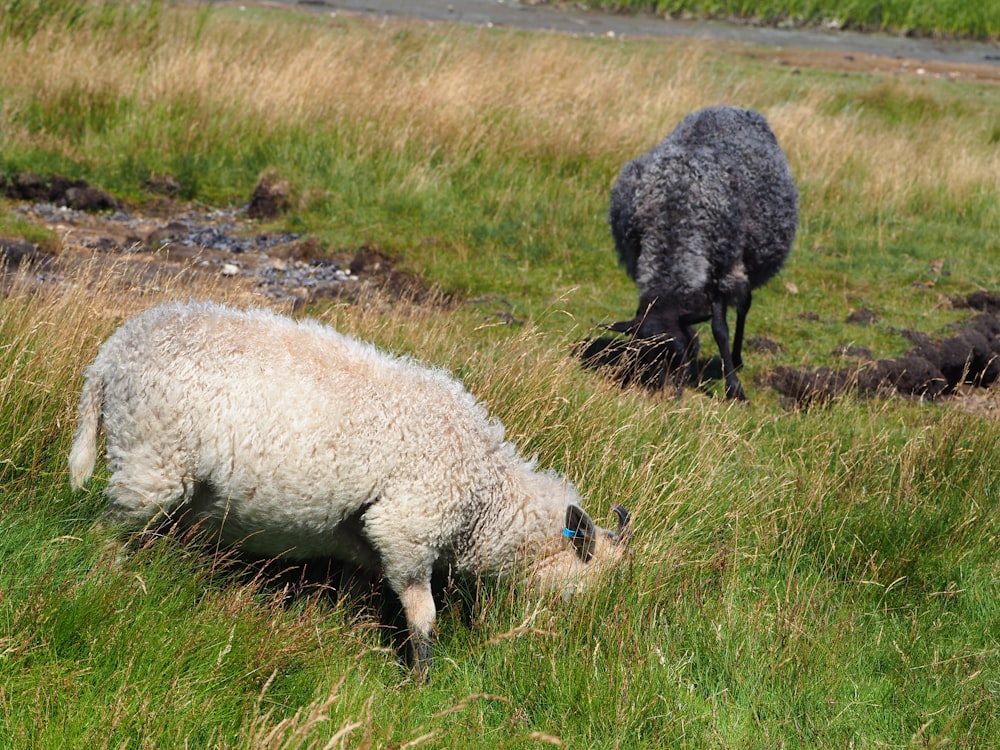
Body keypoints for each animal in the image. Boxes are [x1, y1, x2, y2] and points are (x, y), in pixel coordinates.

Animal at [68, 302, 632, 676]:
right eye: (587, 576)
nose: (575, 638)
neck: (482, 492)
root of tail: (112, 354)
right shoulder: (407, 529)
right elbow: (423, 616)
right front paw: (423, 679)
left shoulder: (362, 541)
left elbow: (354, 594)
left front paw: (342, 637)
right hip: (151, 457)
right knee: (109, 531)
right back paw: (102, 582)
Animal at [608, 106, 796, 402]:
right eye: (642, 355)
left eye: (681, 354)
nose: (666, 396)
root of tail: (731, 107)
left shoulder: (721, 271)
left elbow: (720, 330)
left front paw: (735, 389)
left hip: (742, 264)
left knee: (744, 305)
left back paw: (737, 358)